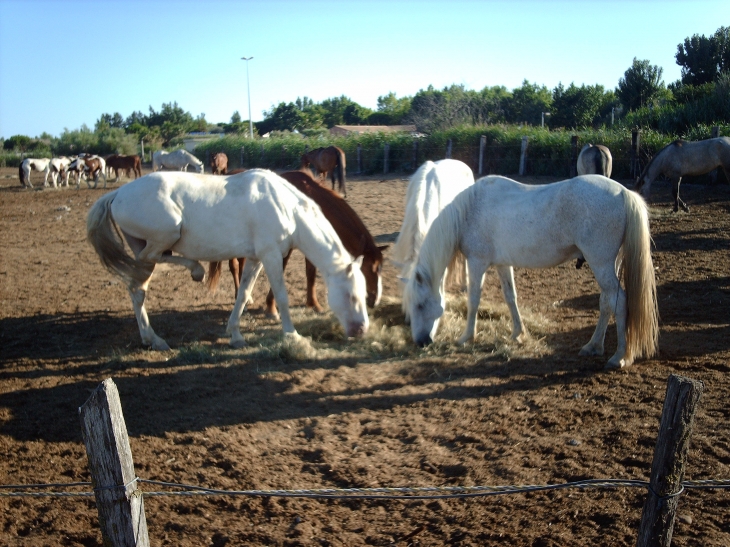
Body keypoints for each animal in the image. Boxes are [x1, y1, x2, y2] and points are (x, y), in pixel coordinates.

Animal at [86, 169, 370, 352]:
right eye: (351, 296)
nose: (361, 330)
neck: (287, 208)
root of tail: (117, 194)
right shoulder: (271, 255)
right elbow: (281, 296)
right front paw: (293, 336)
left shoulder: (256, 259)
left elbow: (243, 294)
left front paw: (235, 335)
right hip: (163, 237)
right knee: (148, 269)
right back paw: (193, 275)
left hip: (144, 247)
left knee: (139, 289)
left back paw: (153, 337)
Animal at [208, 169, 390, 312]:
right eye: (369, 268)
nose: (375, 301)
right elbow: (281, 271)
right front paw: (271, 307)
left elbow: (310, 273)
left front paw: (314, 304)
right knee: (234, 266)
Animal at [404, 174, 660, 372]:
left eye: (419, 305)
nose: (421, 342)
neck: (469, 210)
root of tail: (623, 193)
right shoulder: (502, 264)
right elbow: (511, 297)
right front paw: (518, 333)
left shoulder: (476, 263)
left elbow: (474, 300)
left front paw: (466, 337)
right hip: (608, 264)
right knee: (607, 302)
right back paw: (593, 346)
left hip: (601, 263)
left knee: (620, 302)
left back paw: (620, 357)